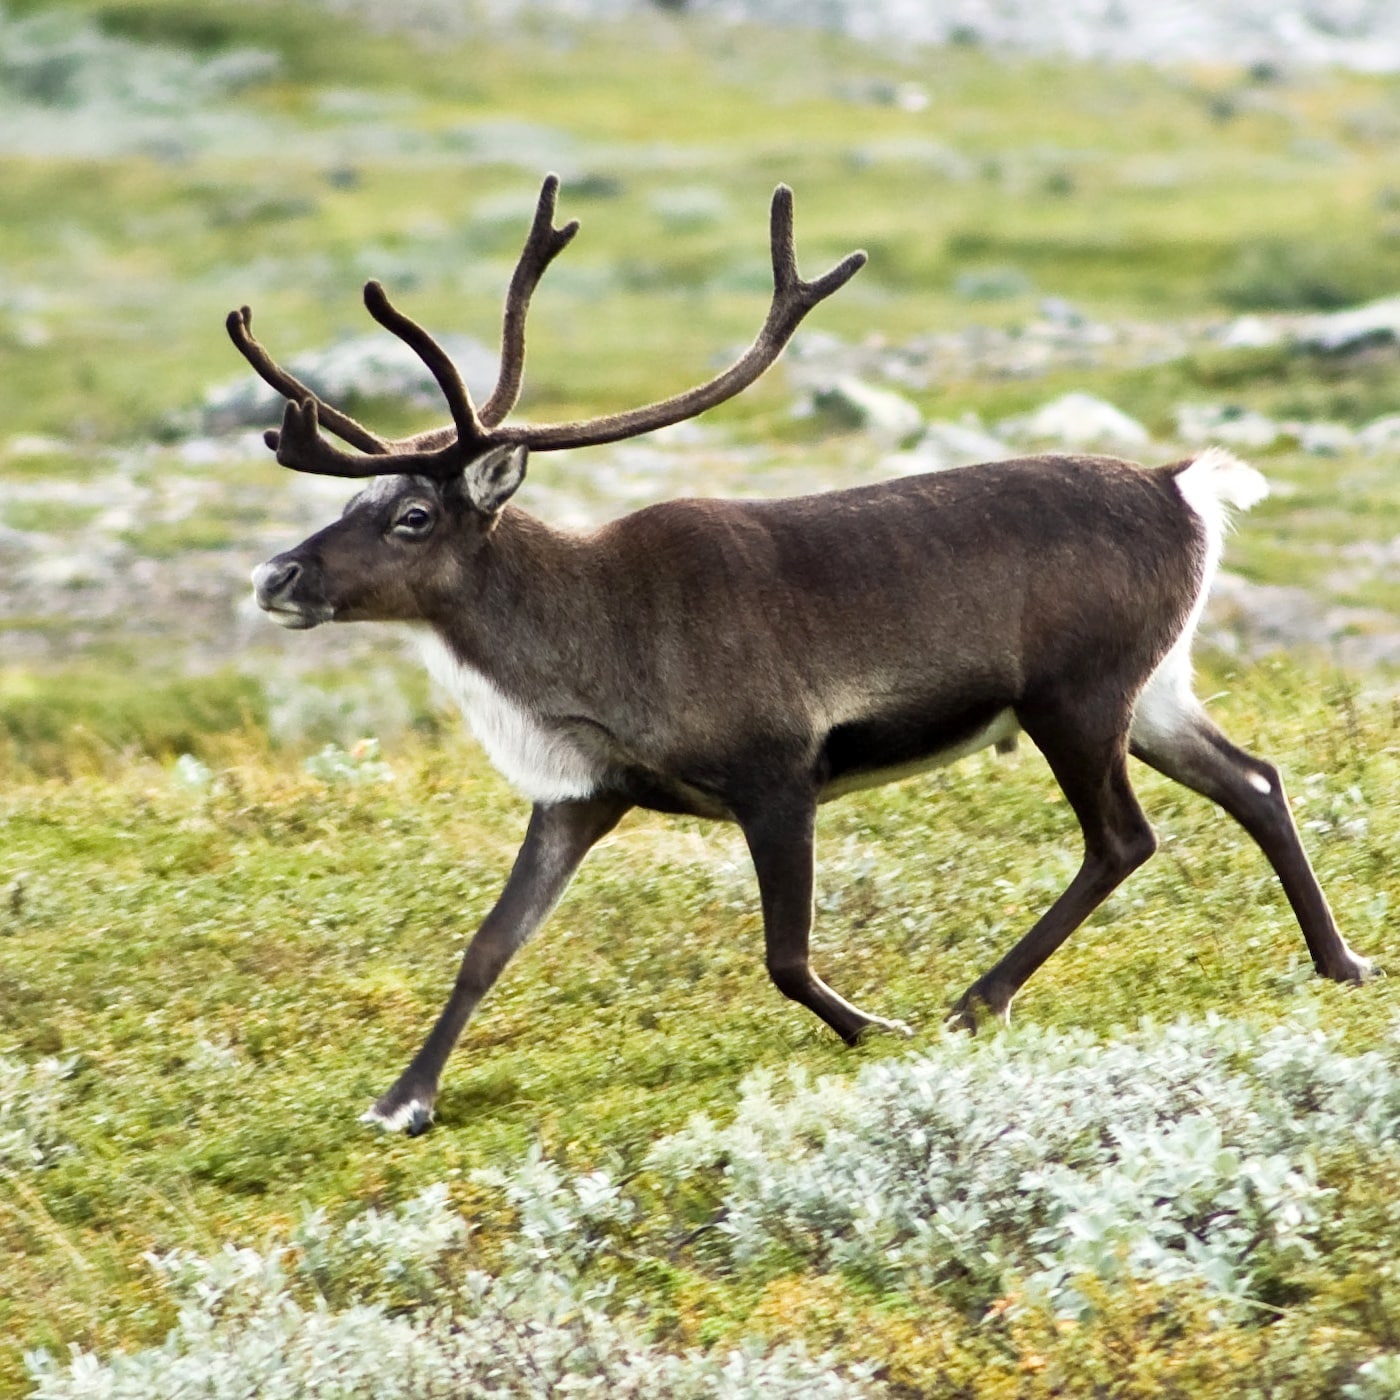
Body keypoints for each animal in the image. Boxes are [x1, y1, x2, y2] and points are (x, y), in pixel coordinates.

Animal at [234, 174, 1373, 1134]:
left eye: (413, 516)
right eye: (357, 502)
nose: (276, 576)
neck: (582, 646)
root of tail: (1183, 487)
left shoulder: (777, 771)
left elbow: (784, 954)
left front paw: (878, 1028)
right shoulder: (583, 793)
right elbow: (486, 944)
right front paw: (402, 1099)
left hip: (1075, 695)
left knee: (1122, 839)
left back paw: (975, 999)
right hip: (1152, 690)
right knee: (1254, 780)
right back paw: (1339, 961)